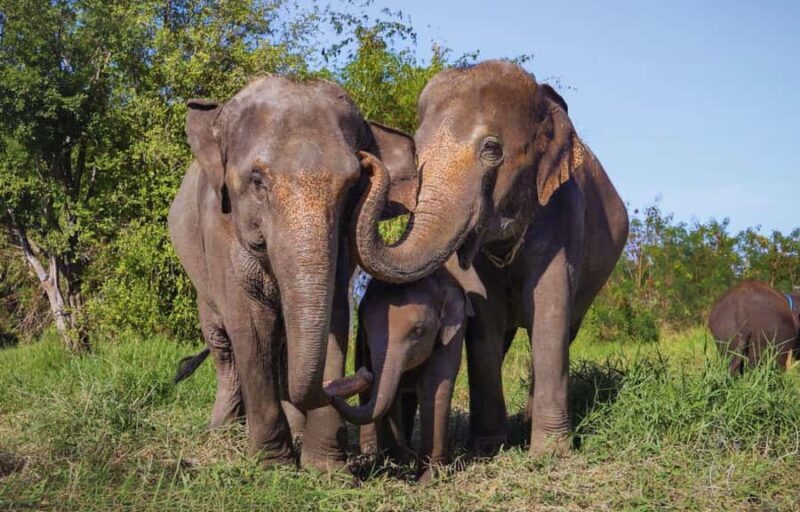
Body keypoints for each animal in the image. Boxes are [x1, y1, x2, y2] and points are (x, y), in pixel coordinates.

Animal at [167, 75, 417, 469]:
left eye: (353, 184)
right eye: (257, 180)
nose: (363, 374)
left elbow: (334, 319)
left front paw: (327, 469)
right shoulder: (218, 226)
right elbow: (250, 326)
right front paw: (271, 464)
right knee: (223, 345)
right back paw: (223, 431)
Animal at [325, 258, 484, 481]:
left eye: (418, 331)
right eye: (365, 326)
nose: (365, 373)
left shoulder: (454, 331)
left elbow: (434, 384)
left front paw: (428, 478)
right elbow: (391, 394)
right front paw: (397, 464)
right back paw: (374, 452)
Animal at [351, 60, 630, 456]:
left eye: (491, 149)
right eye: (417, 152)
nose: (365, 158)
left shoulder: (564, 211)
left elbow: (551, 311)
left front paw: (550, 453)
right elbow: (484, 318)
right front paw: (486, 447)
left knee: (566, 328)